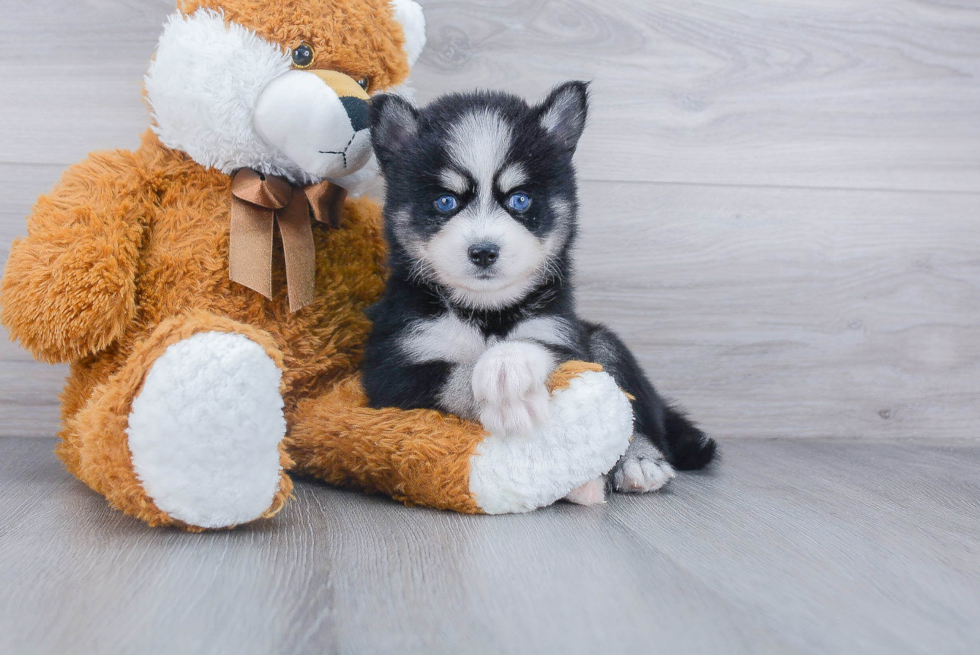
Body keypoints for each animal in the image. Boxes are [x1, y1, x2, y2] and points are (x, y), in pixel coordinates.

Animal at [364, 83, 716, 502]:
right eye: (445, 201)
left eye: (520, 199)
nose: (484, 251)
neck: (487, 313)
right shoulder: (390, 369)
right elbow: (448, 375)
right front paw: (499, 391)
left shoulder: (563, 335)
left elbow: (541, 350)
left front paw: (507, 366)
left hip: (605, 342)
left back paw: (640, 460)